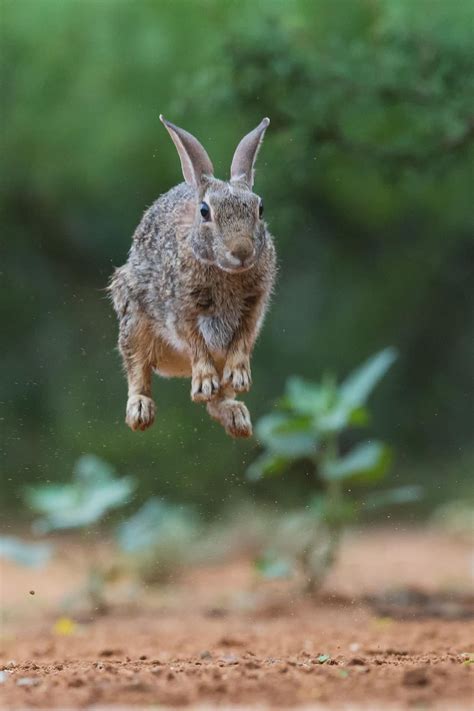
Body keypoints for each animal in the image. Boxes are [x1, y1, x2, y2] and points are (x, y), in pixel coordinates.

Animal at [109, 115, 276, 440]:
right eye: (204, 211)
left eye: (260, 208)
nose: (242, 251)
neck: (224, 270)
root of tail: (172, 368)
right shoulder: (181, 309)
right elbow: (195, 342)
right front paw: (204, 382)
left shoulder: (254, 308)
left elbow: (241, 341)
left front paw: (239, 377)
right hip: (133, 318)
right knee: (137, 368)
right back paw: (141, 412)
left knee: (216, 402)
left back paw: (237, 418)